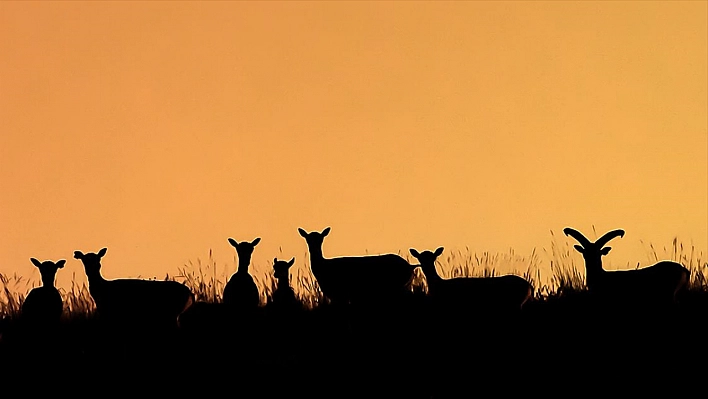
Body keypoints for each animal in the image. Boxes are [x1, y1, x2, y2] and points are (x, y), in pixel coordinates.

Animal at [560, 228, 688, 310]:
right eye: (585, 253)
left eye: (598, 253)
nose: (591, 261)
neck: (601, 277)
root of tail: (683, 270)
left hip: (668, 295)